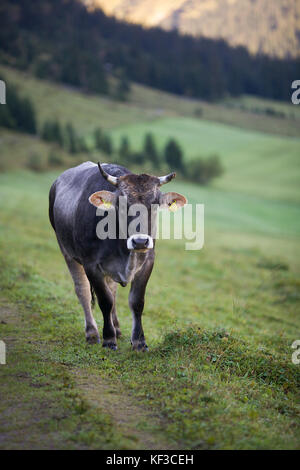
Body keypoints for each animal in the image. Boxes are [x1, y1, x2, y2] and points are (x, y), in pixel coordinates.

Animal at [48, 162, 186, 348]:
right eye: (122, 203)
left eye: (155, 203)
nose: (140, 241)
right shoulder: (91, 265)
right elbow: (105, 300)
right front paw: (108, 339)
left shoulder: (148, 263)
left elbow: (136, 302)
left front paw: (139, 341)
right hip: (67, 251)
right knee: (83, 290)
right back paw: (92, 333)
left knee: (112, 290)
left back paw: (117, 328)